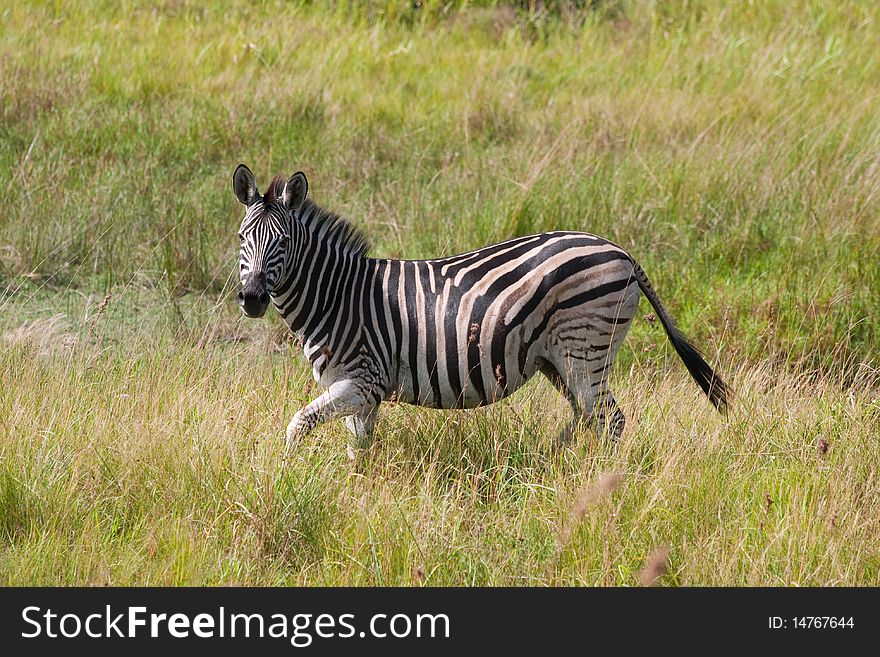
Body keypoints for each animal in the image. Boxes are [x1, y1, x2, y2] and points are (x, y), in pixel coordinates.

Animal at [232, 164, 728, 448]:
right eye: (242, 238)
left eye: (282, 243)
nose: (253, 299)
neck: (337, 296)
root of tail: (622, 252)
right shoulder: (360, 393)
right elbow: (360, 449)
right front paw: (360, 496)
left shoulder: (362, 381)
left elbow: (297, 425)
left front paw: (287, 480)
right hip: (559, 361)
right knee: (587, 417)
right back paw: (553, 459)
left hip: (585, 351)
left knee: (611, 421)